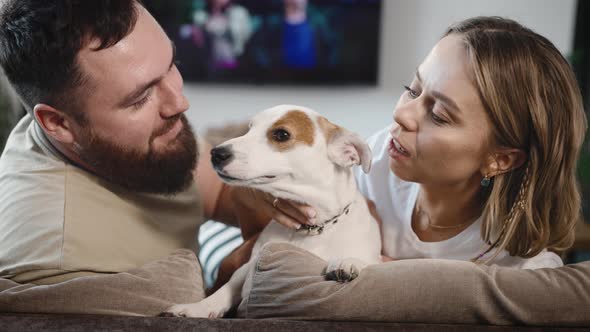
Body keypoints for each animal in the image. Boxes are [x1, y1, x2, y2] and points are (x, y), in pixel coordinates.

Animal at [164, 105, 384, 318]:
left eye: (281, 135)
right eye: (249, 129)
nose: (216, 153)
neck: (312, 229)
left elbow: (367, 261)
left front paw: (348, 262)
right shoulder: (246, 266)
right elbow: (227, 288)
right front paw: (198, 308)